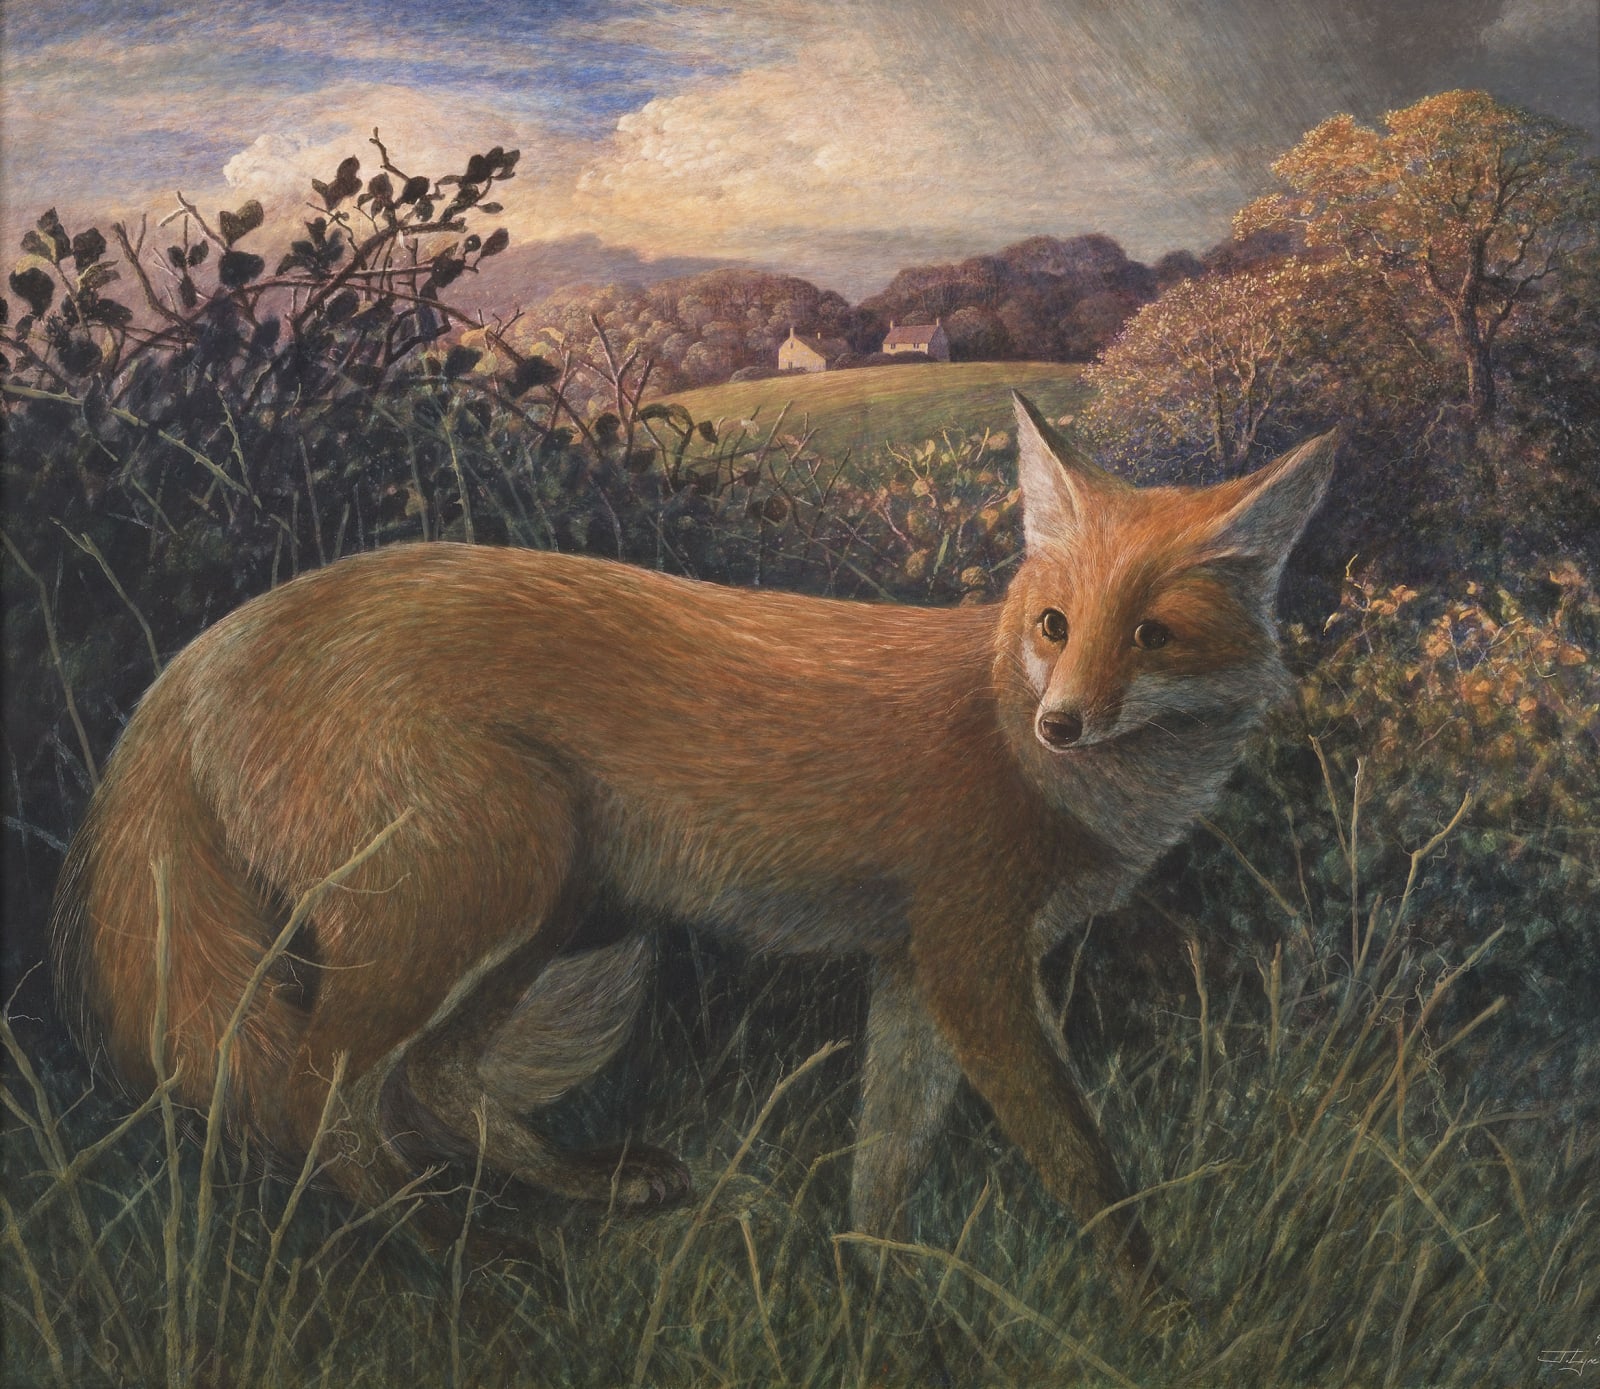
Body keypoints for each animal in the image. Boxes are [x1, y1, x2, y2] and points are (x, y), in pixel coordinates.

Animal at [51, 393, 1334, 1305]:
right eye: (1056, 627)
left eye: (1151, 636)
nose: (1062, 723)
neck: (1020, 741)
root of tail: (209, 645)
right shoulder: (974, 965)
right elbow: (1080, 1166)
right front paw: (1156, 1309)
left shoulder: (916, 969)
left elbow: (886, 1153)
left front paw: (879, 1286)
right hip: (485, 881)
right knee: (319, 1092)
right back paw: (445, 1248)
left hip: (540, 901)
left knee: (438, 1080)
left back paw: (578, 1188)